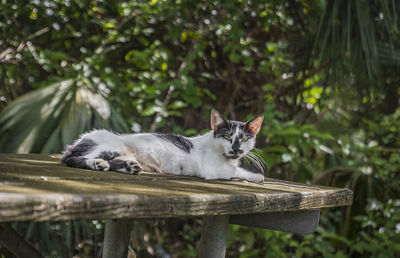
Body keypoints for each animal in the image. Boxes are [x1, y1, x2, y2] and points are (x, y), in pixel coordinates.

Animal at [60, 110, 266, 182]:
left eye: (244, 140)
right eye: (227, 137)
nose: (236, 149)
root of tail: (76, 142)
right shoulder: (214, 170)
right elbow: (236, 171)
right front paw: (256, 176)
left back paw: (130, 166)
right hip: (108, 145)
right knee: (73, 159)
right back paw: (97, 163)